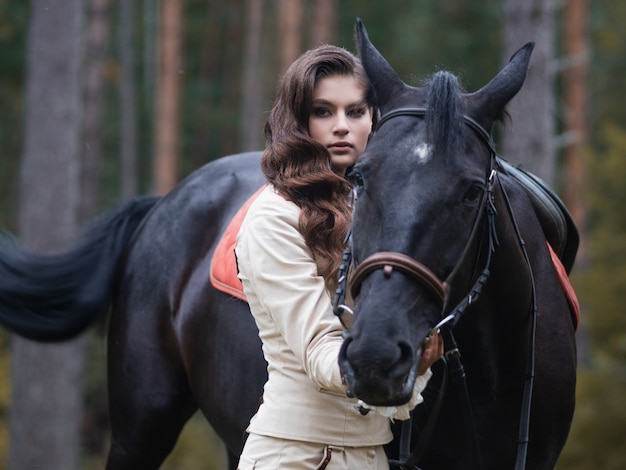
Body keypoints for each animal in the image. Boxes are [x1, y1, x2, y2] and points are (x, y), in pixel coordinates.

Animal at [0, 20, 576, 470]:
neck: (487, 379)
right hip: (141, 427)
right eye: (360, 178)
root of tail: (166, 202)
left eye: (472, 191)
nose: (374, 356)